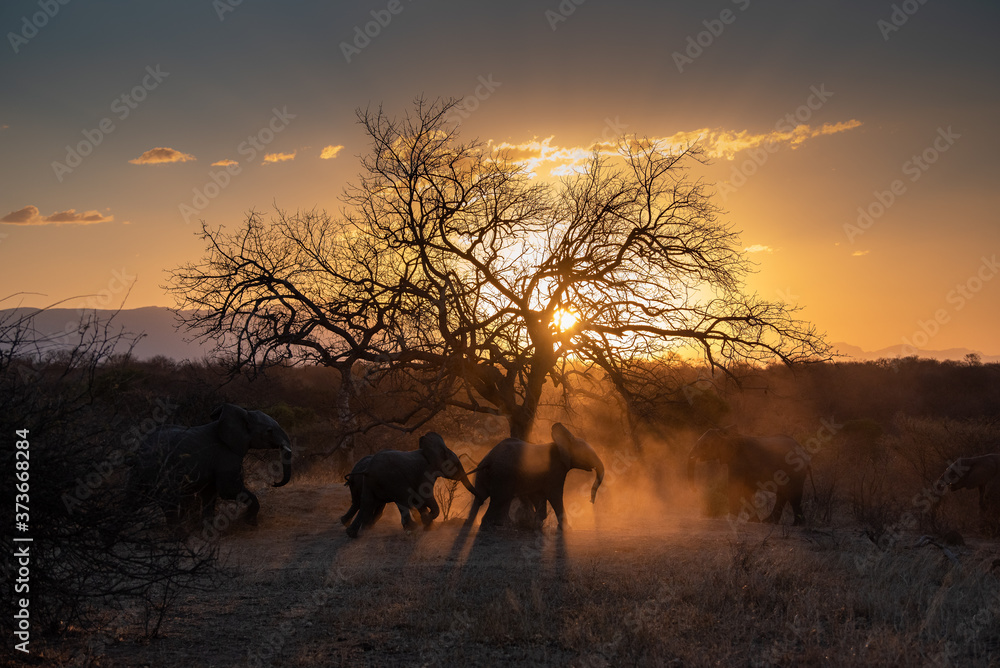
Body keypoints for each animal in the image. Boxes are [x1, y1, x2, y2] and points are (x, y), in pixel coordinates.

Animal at [135, 403, 292, 527]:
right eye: (269, 431)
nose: (274, 483)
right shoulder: (225, 454)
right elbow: (229, 489)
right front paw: (250, 523)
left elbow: (209, 493)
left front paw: (208, 529)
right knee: (169, 501)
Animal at [340, 432, 480, 538]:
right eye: (456, 465)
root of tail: (368, 470)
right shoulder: (426, 472)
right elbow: (425, 497)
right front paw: (425, 521)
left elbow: (419, 500)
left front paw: (428, 526)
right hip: (393, 479)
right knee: (401, 498)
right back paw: (412, 528)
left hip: (369, 483)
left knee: (366, 501)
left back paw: (352, 532)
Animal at [466, 423, 605, 530]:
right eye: (586, 454)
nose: (590, 501)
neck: (562, 443)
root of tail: (488, 459)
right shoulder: (555, 470)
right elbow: (554, 495)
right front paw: (567, 529)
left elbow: (538, 496)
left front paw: (537, 525)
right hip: (503, 475)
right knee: (499, 499)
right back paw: (491, 526)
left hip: (484, 474)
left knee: (480, 497)